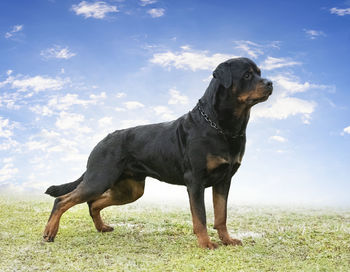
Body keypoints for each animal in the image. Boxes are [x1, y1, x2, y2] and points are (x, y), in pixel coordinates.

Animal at [43, 57, 272, 249]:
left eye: (259, 73)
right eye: (247, 75)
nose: (270, 83)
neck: (222, 126)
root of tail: (102, 141)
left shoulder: (224, 180)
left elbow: (221, 215)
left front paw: (227, 240)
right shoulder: (195, 181)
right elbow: (201, 217)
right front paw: (206, 243)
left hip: (130, 189)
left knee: (93, 203)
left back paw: (101, 227)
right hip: (100, 178)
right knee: (62, 200)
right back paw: (49, 232)